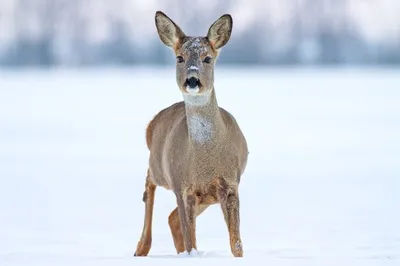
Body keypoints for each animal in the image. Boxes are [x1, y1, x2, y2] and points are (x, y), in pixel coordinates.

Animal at [134, 10, 247, 258]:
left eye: (207, 58)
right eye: (179, 58)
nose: (193, 80)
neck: (206, 161)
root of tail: (152, 123)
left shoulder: (230, 183)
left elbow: (236, 243)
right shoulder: (182, 185)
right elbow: (191, 241)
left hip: (204, 198)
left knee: (172, 218)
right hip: (160, 167)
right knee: (149, 184)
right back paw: (141, 248)